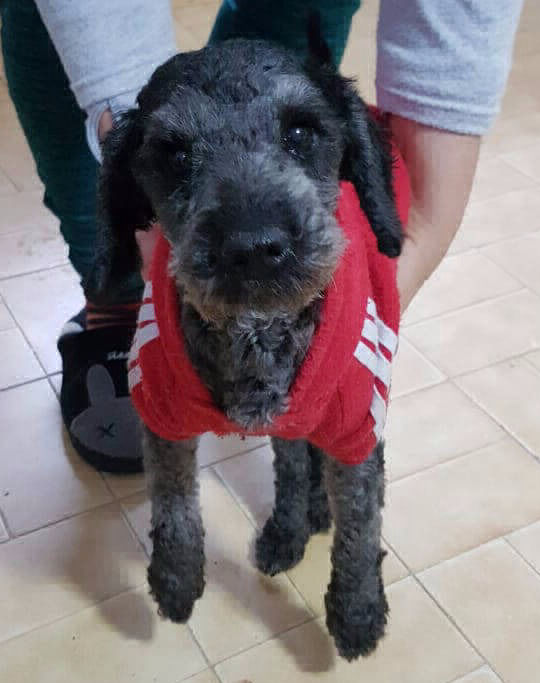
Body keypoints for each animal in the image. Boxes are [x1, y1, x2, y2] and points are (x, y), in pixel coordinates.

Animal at [88, 27, 406, 661]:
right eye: (174, 155)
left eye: (302, 132)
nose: (255, 247)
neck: (256, 331)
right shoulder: (161, 412)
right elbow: (174, 503)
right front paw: (176, 580)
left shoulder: (358, 427)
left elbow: (361, 528)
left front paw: (358, 611)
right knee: (292, 459)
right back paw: (290, 527)